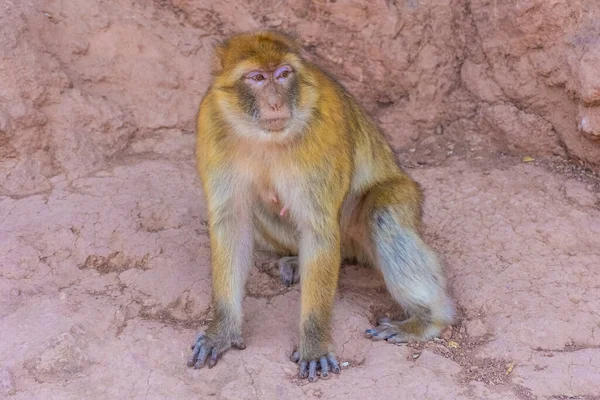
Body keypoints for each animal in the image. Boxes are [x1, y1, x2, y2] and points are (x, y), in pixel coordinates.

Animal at [188, 30, 454, 382]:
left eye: (283, 74)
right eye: (257, 78)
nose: (275, 103)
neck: (263, 136)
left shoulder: (321, 131)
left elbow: (319, 230)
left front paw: (314, 344)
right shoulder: (211, 123)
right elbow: (231, 222)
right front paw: (223, 330)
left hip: (404, 200)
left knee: (382, 214)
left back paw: (427, 320)